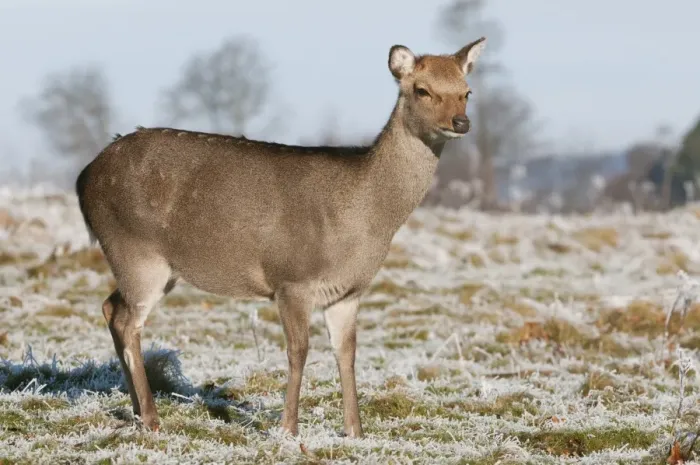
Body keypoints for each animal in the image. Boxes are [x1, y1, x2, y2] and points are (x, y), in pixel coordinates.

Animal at [74, 36, 486, 438]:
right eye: (422, 89)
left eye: (466, 91)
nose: (461, 121)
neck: (365, 220)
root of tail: (84, 177)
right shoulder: (292, 279)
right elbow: (298, 350)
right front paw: (289, 429)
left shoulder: (348, 292)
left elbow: (347, 352)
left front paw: (355, 431)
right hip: (135, 250)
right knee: (128, 321)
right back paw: (151, 418)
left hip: (155, 266)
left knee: (111, 307)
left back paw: (136, 409)